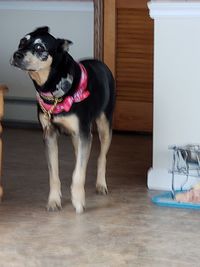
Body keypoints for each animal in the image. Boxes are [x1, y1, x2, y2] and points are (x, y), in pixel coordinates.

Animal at [10, 26, 115, 214]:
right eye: (22, 42)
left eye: (39, 48)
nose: (16, 55)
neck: (53, 90)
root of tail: (100, 62)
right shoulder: (49, 135)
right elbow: (54, 174)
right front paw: (54, 200)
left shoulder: (84, 133)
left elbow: (78, 173)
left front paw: (78, 199)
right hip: (76, 137)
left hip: (104, 126)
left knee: (101, 157)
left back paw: (101, 184)